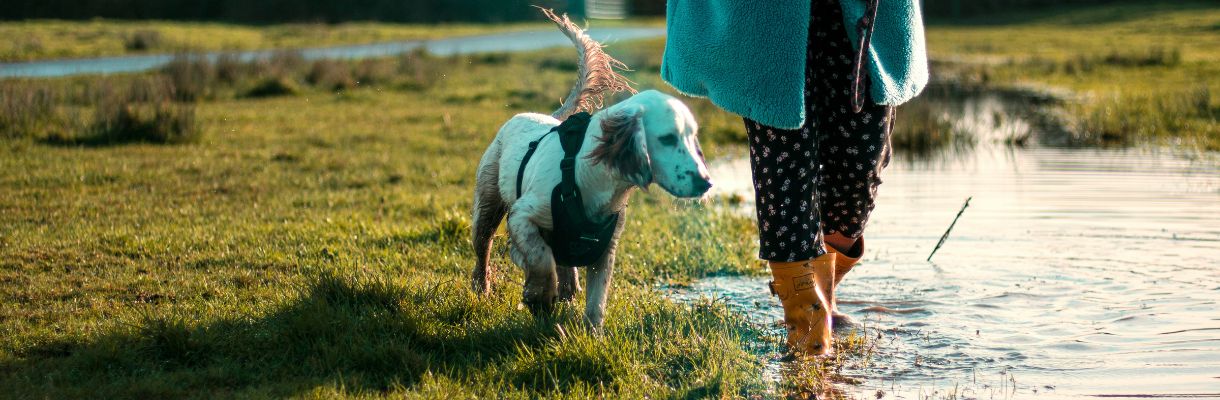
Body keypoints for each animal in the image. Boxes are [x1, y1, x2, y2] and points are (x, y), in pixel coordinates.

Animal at [468, 10, 712, 329]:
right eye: (668, 138)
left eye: (693, 137)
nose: (706, 183)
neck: (590, 178)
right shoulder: (522, 215)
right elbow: (540, 258)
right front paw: (539, 293)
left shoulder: (605, 247)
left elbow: (596, 302)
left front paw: (591, 333)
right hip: (487, 207)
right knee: (484, 250)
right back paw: (482, 289)